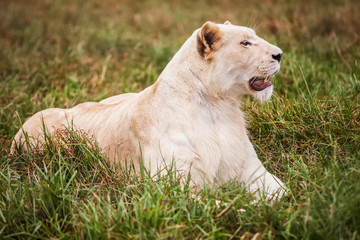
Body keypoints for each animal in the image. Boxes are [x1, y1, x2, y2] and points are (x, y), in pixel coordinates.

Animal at [11, 21, 286, 199]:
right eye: (245, 43)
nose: (280, 54)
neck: (217, 107)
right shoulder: (174, 186)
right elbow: (226, 208)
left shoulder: (252, 171)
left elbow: (283, 194)